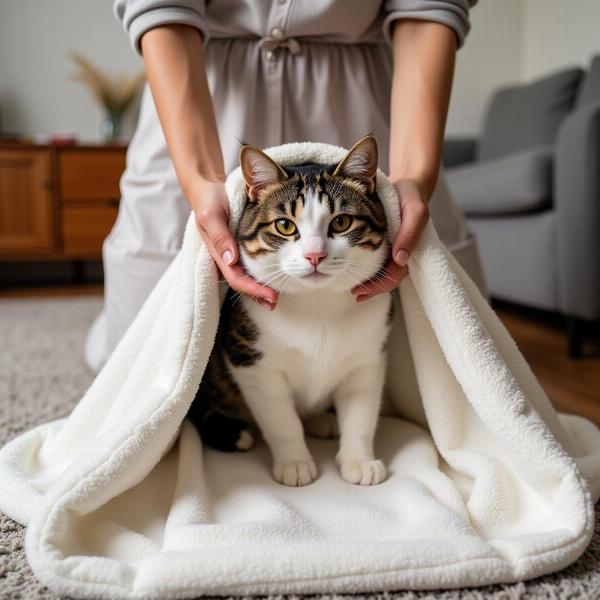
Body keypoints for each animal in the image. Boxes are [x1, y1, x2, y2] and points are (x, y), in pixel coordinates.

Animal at [189, 135, 394, 488]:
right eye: (285, 225)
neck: (318, 306)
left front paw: (359, 460)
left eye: (341, 222)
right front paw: (295, 463)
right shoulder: (252, 362)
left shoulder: (368, 356)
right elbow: (281, 420)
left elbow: (361, 411)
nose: (315, 255)